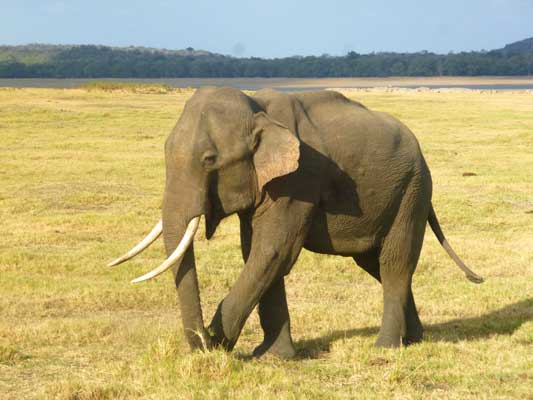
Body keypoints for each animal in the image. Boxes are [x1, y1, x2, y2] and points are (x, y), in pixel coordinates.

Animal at [108, 86, 482, 356]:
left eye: (209, 159)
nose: (202, 340)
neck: (256, 106)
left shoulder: (300, 178)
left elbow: (274, 251)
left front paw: (222, 339)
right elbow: (257, 254)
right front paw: (273, 356)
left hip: (411, 190)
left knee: (394, 263)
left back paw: (385, 348)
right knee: (375, 265)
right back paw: (414, 340)